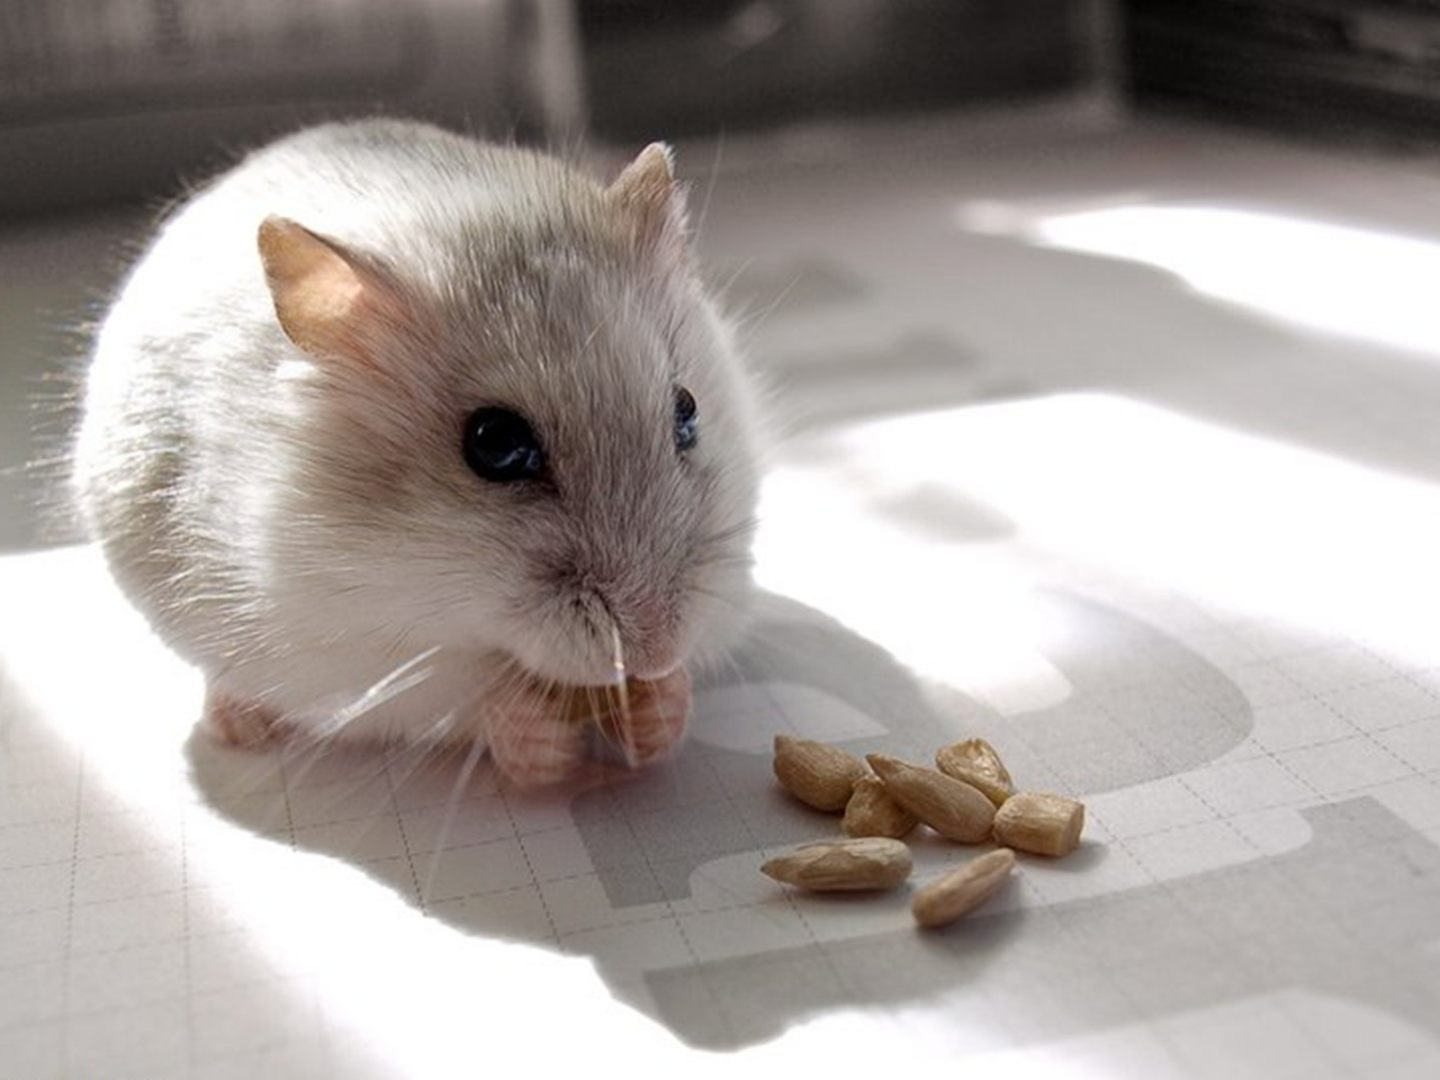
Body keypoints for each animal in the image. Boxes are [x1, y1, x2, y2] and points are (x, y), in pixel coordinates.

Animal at [70, 118, 766, 789]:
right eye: (496, 445)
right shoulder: (351, 659)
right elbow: (467, 701)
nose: (657, 650)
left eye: (687, 411)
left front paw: (658, 711)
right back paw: (239, 726)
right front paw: (547, 752)